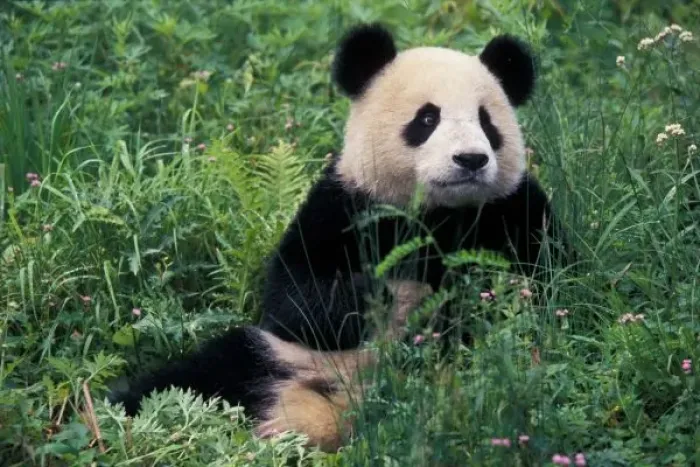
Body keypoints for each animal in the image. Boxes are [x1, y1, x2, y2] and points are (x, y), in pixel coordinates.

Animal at [109, 23, 568, 452]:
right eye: (427, 119)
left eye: (487, 122)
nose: (470, 159)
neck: (437, 212)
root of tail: (326, 410)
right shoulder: (343, 205)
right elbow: (293, 296)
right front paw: (376, 293)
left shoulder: (515, 209)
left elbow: (555, 286)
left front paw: (462, 293)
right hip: (279, 356)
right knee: (195, 377)